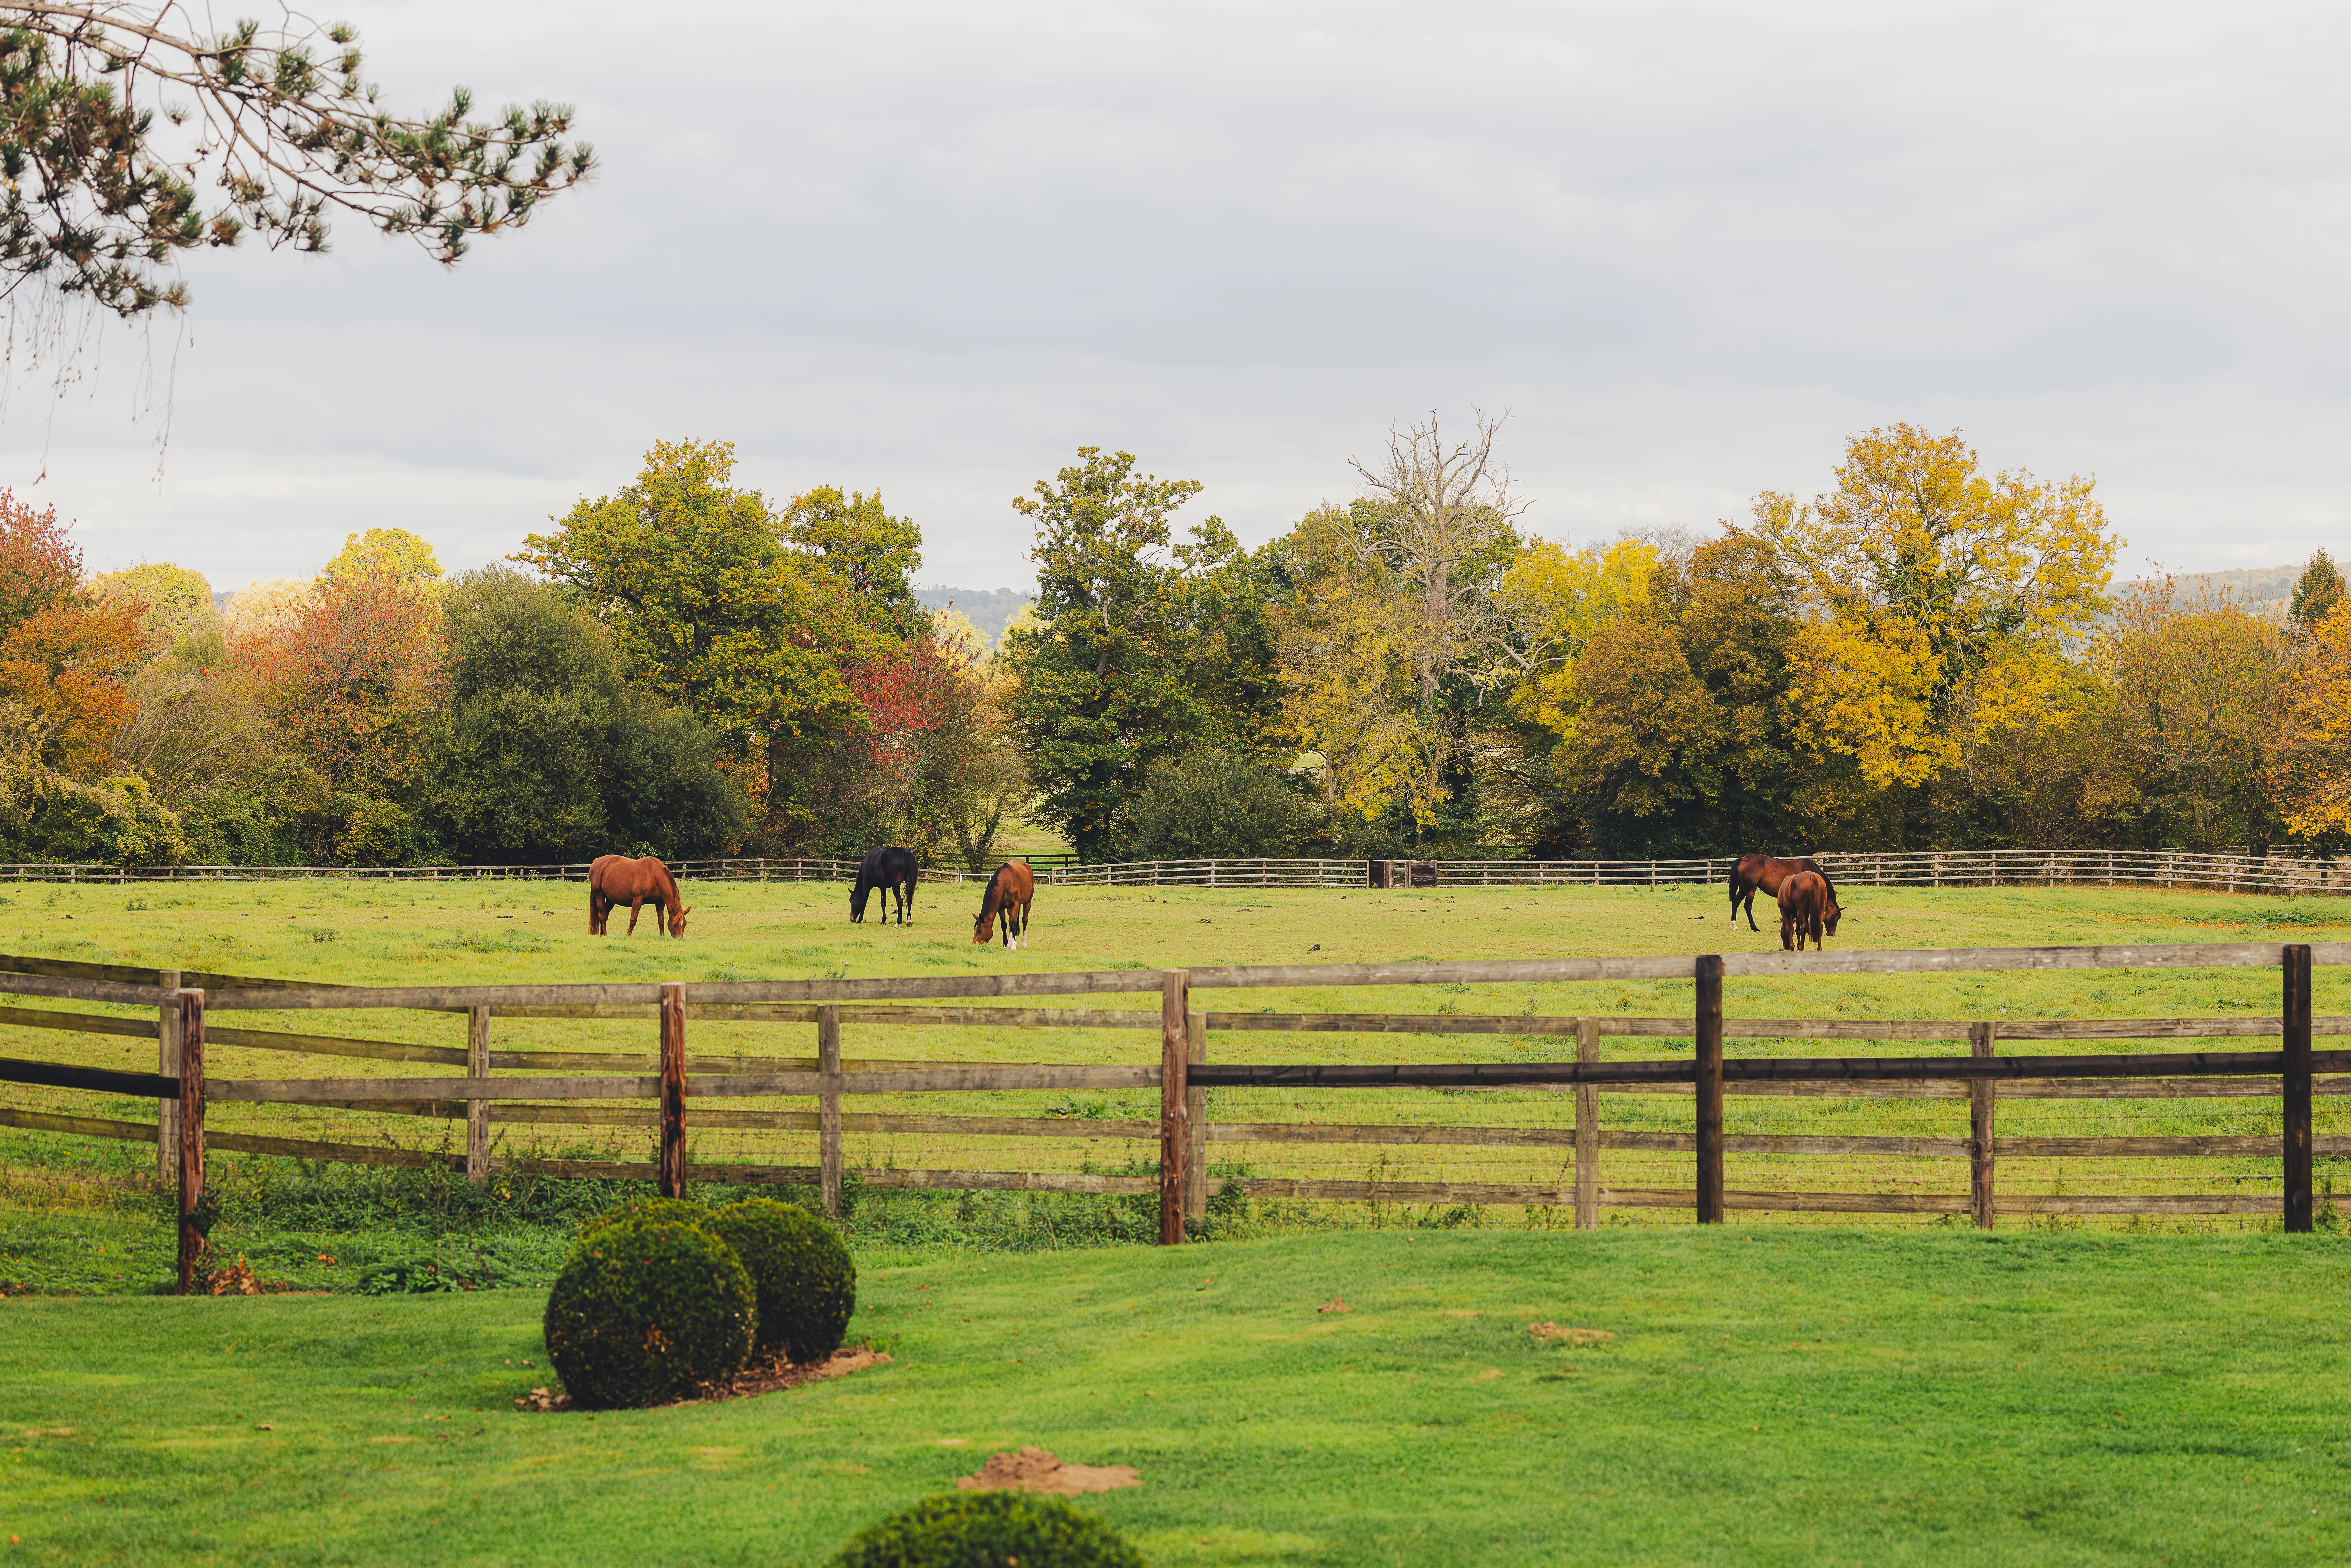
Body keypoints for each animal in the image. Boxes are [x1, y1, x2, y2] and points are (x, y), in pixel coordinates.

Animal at [588, 854, 690, 937]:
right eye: (676, 924)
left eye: (685, 924)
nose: (679, 939)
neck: (653, 876)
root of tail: (596, 862)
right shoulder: (638, 900)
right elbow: (633, 920)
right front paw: (628, 936)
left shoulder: (660, 903)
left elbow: (661, 921)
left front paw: (662, 937)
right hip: (600, 895)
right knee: (602, 916)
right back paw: (605, 934)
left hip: (610, 900)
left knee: (605, 916)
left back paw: (603, 934)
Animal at [850, 847, 919, 926]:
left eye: (851, 901)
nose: (852, 919)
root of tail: (905, 853)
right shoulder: (883, 888)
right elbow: (883, 904)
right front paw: (883, 921)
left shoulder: (867, 887)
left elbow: (864, 903)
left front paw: (860, 920)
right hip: (910, 884)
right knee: (910, 900)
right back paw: (909, 920)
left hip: (895, 887)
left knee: (900, 901)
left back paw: (898, 923)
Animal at [970, 861, 1034, 948]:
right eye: (975, 929)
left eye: (980, 930)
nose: (975, 944)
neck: (1006, 882)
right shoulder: (1001, 908)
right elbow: (1004, 925)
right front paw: (1006, 945)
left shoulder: (1015, 905)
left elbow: (1014, 925)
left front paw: (1014, 946)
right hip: (1009, 908)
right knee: (1010, 921)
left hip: (1028, 902)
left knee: (1024, 920)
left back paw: (1024, 944)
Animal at [1729, 853, 1839, 933]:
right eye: (1836, 917)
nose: (1832, 934)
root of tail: (1742, 859)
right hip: (1751, 889)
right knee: (1748, 907)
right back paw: (1755, 928)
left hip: (1743, 889)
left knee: (1736, 903)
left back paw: (1735, 925)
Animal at [1777, 869, 1842, 951]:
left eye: (1782, 935)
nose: (1787, 947)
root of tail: (1813, 877)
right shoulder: (1798, 914)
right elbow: (1797, 931)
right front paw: (1798, 946)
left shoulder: (1785, 912)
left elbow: (1790, 930)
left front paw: (1793, 948)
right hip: (1820, 910)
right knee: (1820, 928)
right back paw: (1819, 949)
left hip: (1801, 912)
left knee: (1803, 927)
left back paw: (1801, 948)